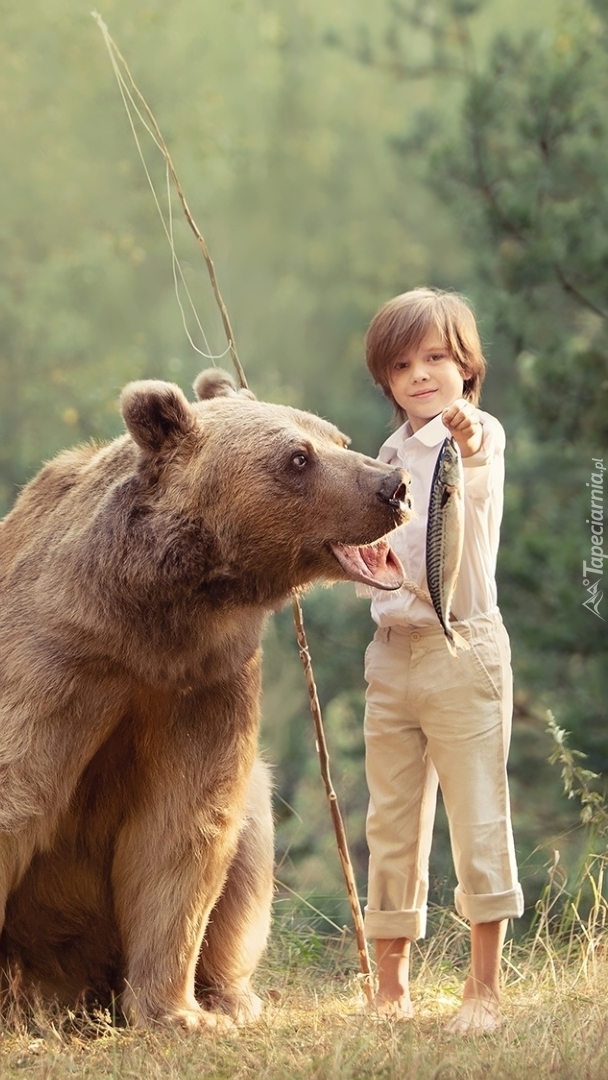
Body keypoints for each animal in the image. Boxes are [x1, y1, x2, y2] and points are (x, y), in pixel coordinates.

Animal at [0, 369, 412, 1028]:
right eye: (298, 456)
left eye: (339, 438)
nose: (392, 486)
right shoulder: (60, 664)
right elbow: (18, 794)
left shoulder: (206, 684)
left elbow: (184, 827)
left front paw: (179, 1012)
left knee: (250, 841)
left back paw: (230, 995)